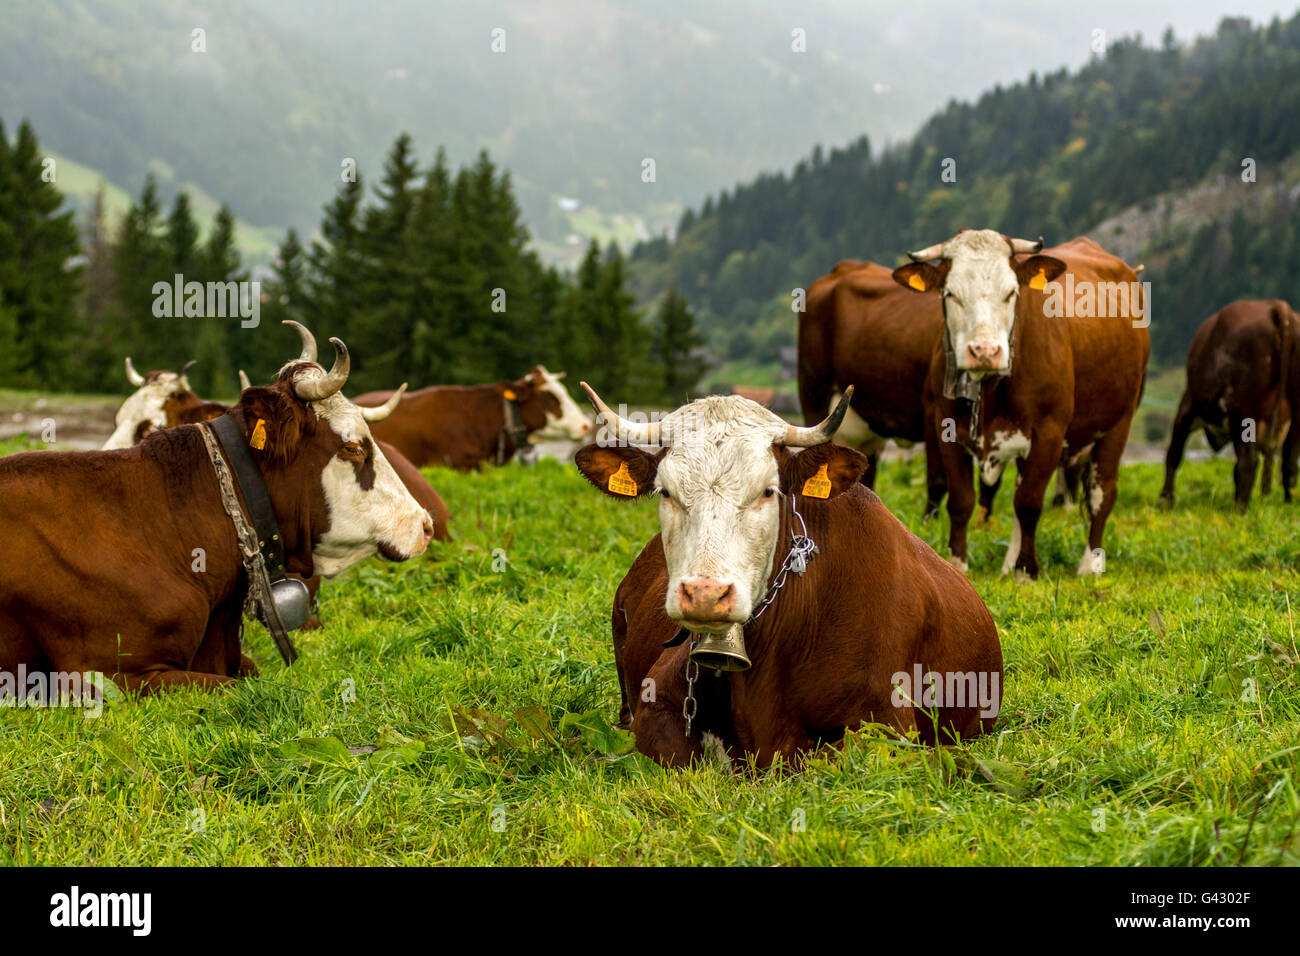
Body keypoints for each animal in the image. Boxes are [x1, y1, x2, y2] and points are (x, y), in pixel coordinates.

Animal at [894, 230, 1149, 582]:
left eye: (1011, 293)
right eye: (951, 294)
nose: (984, 351)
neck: (990, 387)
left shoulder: (1049, 432)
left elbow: (1029, 503)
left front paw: (1027, 569)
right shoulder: (946, 428)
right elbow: (962, 500)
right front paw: (958, 563)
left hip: (1118, 422)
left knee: (1101, 493)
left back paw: (1090, 564)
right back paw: (1007, 567)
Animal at [1159, 299, 1300, 512]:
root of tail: (1275, 306)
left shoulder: (1187, 405)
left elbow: (1174, 453)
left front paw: (1165, 499)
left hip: (1242, 410)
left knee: (1248, 463)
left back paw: (1239, 511)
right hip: (1294, 414)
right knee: (1289, 466)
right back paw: (1286, 504)